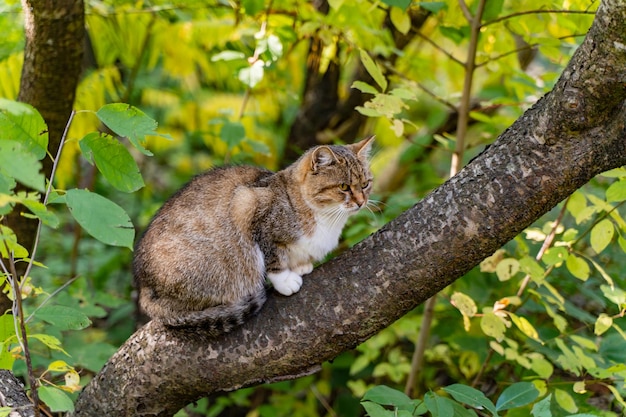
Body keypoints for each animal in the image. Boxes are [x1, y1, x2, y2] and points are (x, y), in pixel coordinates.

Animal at [132, 136, 372, 334]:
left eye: (365, 184)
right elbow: (271, 256)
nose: (362, 202)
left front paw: (301, 265)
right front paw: (285, 280)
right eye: (344, 187)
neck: (327, 219)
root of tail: (144, 287)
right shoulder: (247, 205)